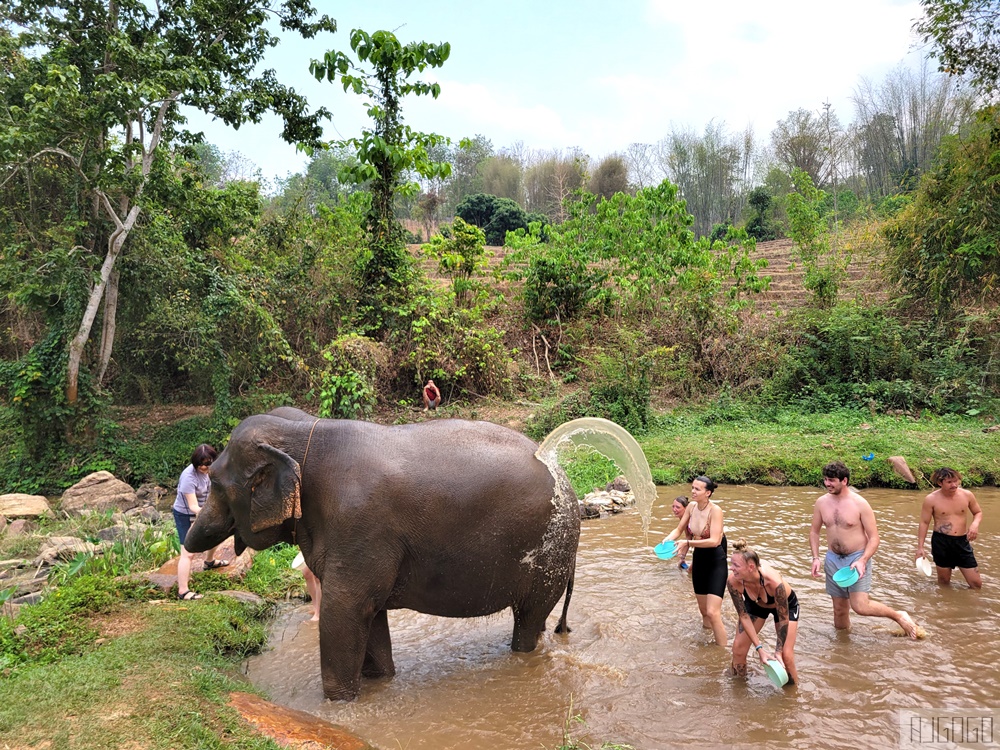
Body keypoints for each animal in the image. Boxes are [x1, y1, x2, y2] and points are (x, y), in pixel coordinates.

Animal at [183, 409, 580, 701]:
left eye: (214, 483)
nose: (188, 541)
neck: (303, 431)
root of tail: (567, 479)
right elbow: (369, 615)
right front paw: (379, 684)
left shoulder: (359, 526)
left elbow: (343, 611)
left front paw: (340, 705)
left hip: (551, 550)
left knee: (528, 619)